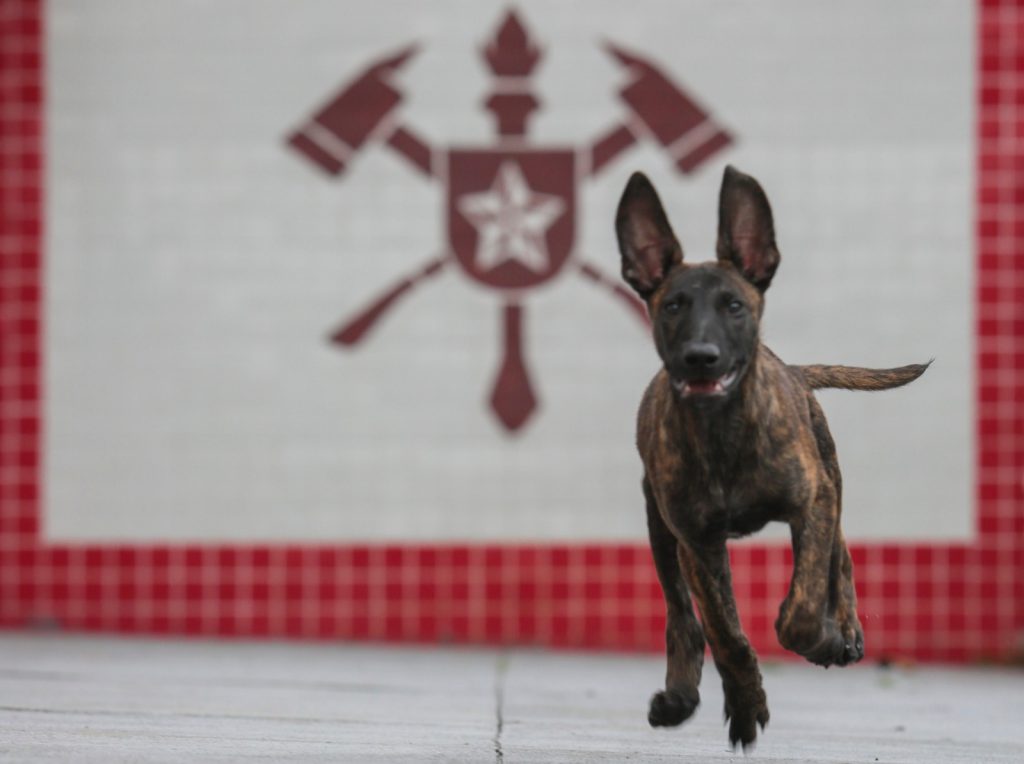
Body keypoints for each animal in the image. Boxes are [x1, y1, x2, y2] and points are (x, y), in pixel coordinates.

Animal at [614, 164, 929, 745]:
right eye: (672, 307)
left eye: (734, 306)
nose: (700, 358)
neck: (722, 433)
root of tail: (796, 370)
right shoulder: (697, 542)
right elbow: (726, 633)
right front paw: (745, 704)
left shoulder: (812, 502)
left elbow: (802, 604)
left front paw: (822, 640)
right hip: (659, 526)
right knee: (681, 617)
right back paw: (678, 695)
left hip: (830, 480)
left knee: (842, 559)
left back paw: (846, 632)